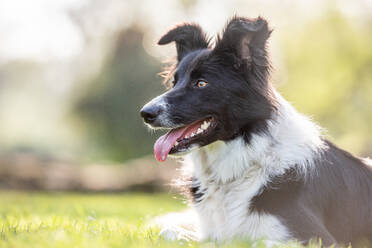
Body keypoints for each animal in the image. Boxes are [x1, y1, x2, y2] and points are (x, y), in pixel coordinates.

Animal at [140, 16, 372, 246]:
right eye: (174, 82)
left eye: (201, 83)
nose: (145, 113)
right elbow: (169, 231)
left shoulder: (319, 238)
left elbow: (252, 241)